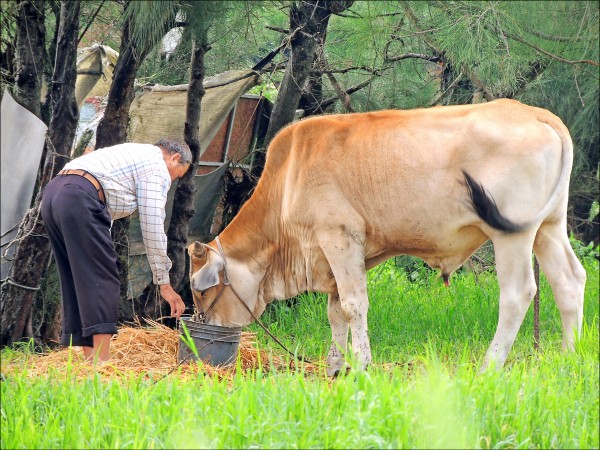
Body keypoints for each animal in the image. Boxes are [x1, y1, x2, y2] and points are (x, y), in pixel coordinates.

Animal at [188, 99, 584, 376]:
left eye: (201, 289)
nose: (204, 332)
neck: (289, 178)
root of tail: (536, 114)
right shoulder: (334, 257)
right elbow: (336, 312)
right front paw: (335, 366)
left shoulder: (340, 238)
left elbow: (353, 306)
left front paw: (362, 365)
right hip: (548, 227)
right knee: (569, 281)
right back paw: (569, 355)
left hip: (512, 235)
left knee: (518, 294)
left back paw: (490, 366)